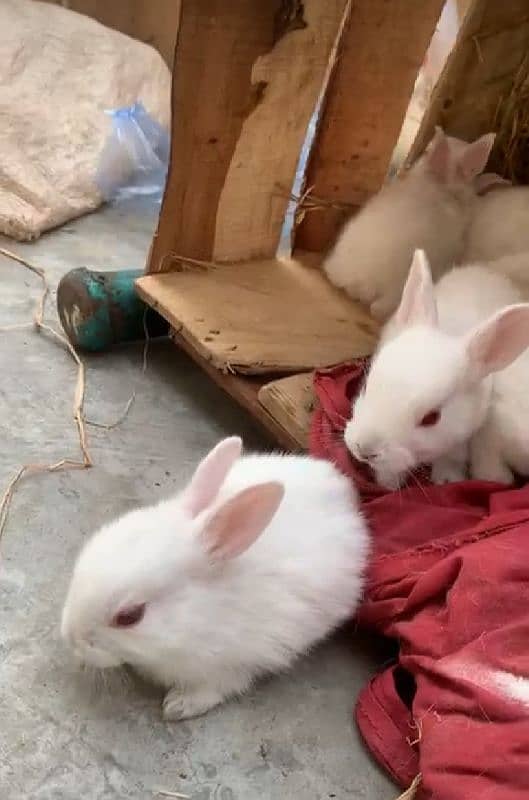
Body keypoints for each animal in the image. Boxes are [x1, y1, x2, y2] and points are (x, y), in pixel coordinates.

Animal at [60, 438, 368, 720]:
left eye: (129, 617)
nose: (71, 638)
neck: (201, 615)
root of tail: (345, 492)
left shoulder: (237, 663)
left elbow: (217, 688)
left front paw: (177, 707)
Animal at [344, 250, 529, 488]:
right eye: (367, 387)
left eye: (431, 418)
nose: (364, 450)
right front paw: (388, 483)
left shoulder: (458, 442)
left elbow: (450, 459)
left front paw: (446, 480)